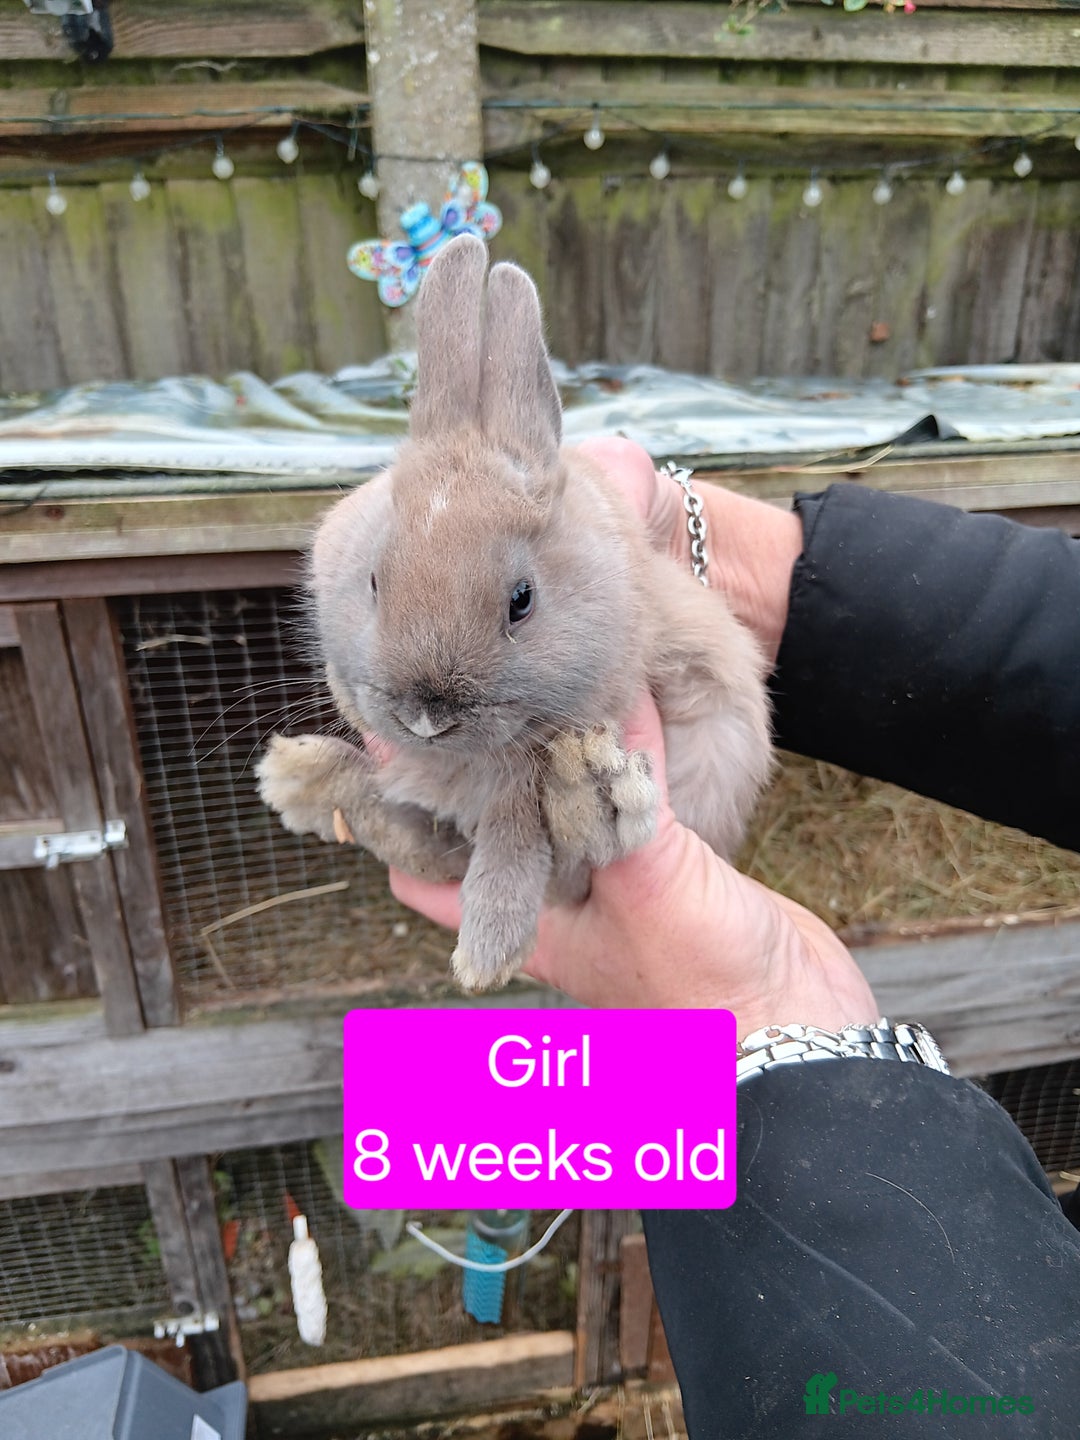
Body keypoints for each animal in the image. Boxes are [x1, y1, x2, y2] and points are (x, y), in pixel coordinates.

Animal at [257, 232, 772, 992]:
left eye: (521, 600)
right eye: (375, 581)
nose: (426, 716)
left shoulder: (532, 766)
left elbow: (514, 839)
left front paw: (485, 956)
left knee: (567, 860)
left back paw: (597, 793)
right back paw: (302, 779)